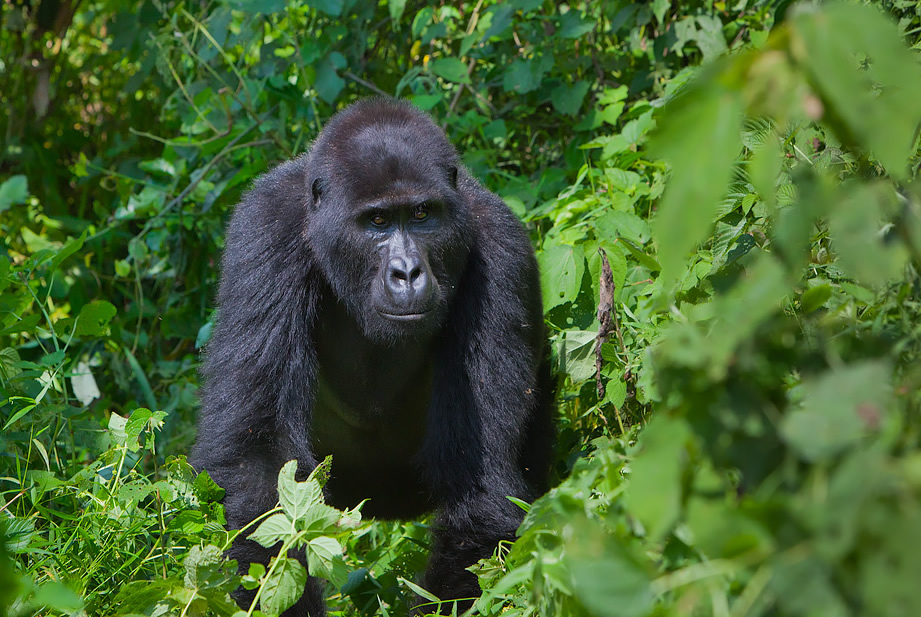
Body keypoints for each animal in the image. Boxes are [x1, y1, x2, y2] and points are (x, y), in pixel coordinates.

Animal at [190, 98, 548, 612]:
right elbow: (254, 466)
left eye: (422, 214)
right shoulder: (265, 227)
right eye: (377, 222)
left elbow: (482, 490)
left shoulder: (504, 247)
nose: (407, 272)